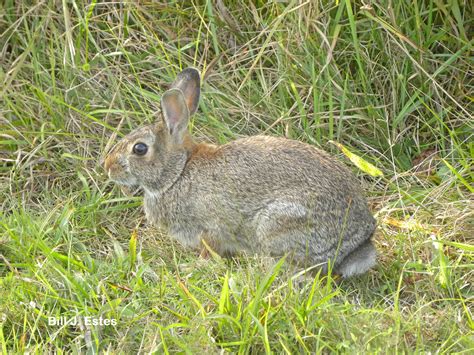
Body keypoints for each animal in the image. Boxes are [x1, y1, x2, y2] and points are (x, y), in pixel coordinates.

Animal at [104, 67, 378, 278]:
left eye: (139, 149)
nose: (108, 167)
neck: (178, 173)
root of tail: (356, 244)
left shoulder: (210, 228)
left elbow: (210, 251)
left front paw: (192, 267)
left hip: (277, 223)